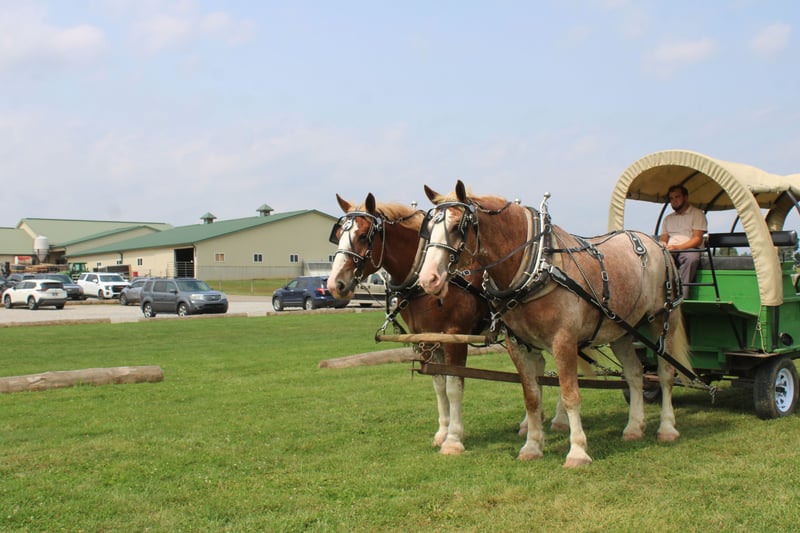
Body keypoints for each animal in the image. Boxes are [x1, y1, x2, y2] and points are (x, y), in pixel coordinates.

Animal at [327, 192, 537, 455]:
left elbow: (454, 386)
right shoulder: (427, 338)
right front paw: (442, 433)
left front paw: (454, 439)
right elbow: (439, 385)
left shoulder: (455, 337)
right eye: (338, 235)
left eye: (364, 235)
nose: (334, 284)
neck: (421, 279)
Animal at [417, 180, 693, 467]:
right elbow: (531, 398)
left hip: (663, 319)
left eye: (457, 226)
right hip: (622, 330)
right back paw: (634, 428)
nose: (428, 279)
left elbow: (571, 395)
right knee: (635, 374)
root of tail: (655, 242)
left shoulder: (563, 341)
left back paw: (667, 428)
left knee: (665, 373)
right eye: (428, 229)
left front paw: (578, 451)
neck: (538, 264)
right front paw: (531, 446)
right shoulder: (518, 346)